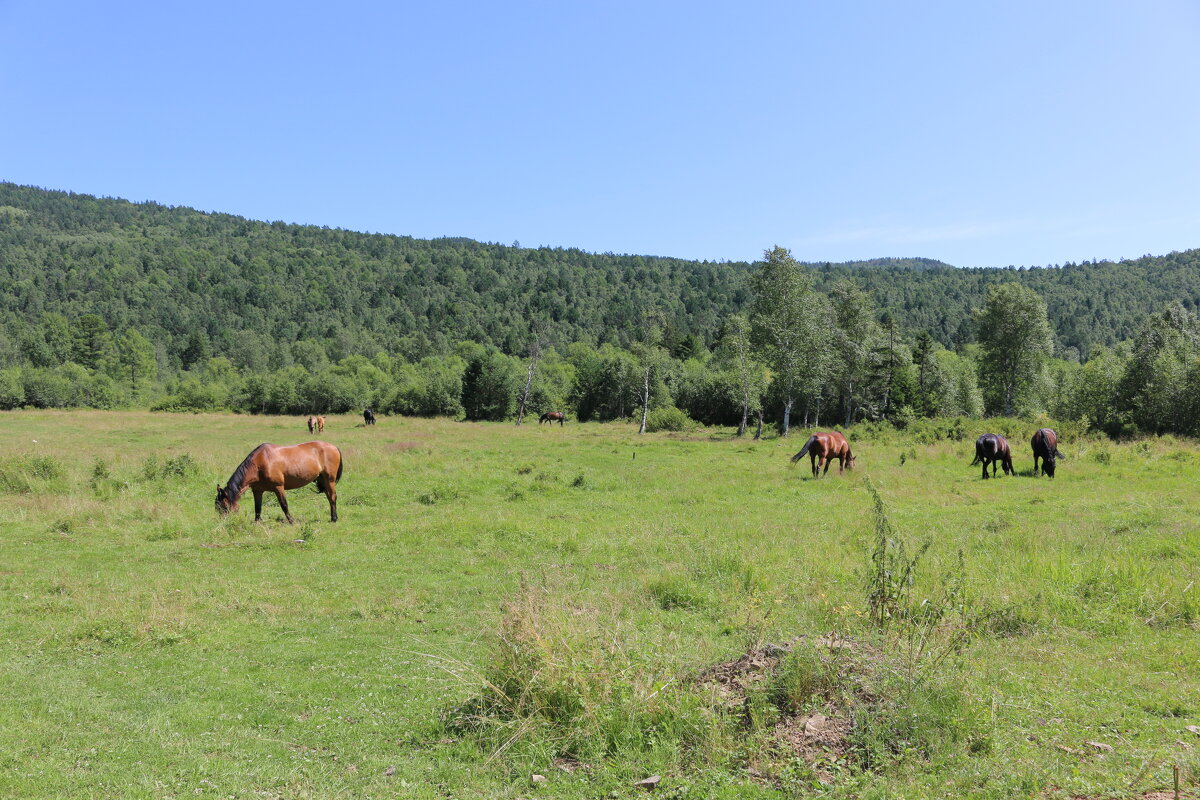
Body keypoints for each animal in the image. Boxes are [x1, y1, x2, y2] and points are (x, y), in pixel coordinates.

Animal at [214, 441, 343, 522]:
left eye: (223, 506)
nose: (223, 523)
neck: (260, 463)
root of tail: (334, 447)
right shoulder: (257, 491)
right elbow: (257, 507)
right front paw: (257, 522)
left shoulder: (278, 487)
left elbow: (284, 505)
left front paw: (291, 521)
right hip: (323, 480)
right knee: (329, 497)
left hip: (330, 480)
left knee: (332, 497)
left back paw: (334, 519)